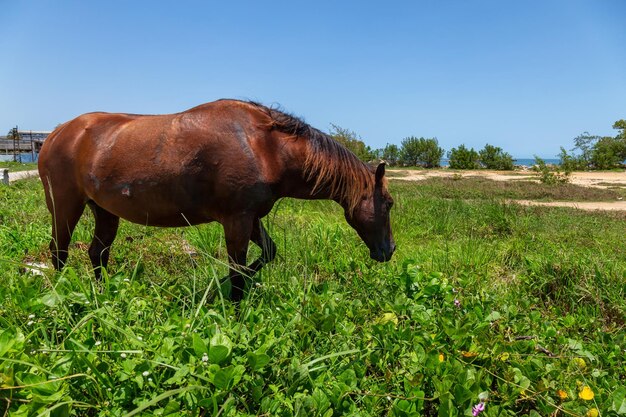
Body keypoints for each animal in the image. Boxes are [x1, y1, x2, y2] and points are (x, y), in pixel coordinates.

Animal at [37, 98, 394, 300]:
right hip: (65, 207)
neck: (265, 147)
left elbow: (265, 254)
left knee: (97, 253)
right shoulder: (237, 220)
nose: (388, 251)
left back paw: (104, 295)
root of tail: (56, 134)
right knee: (59, 252)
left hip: (104, 211)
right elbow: (236, 270)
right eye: (389, 204)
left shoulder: (252, 217)